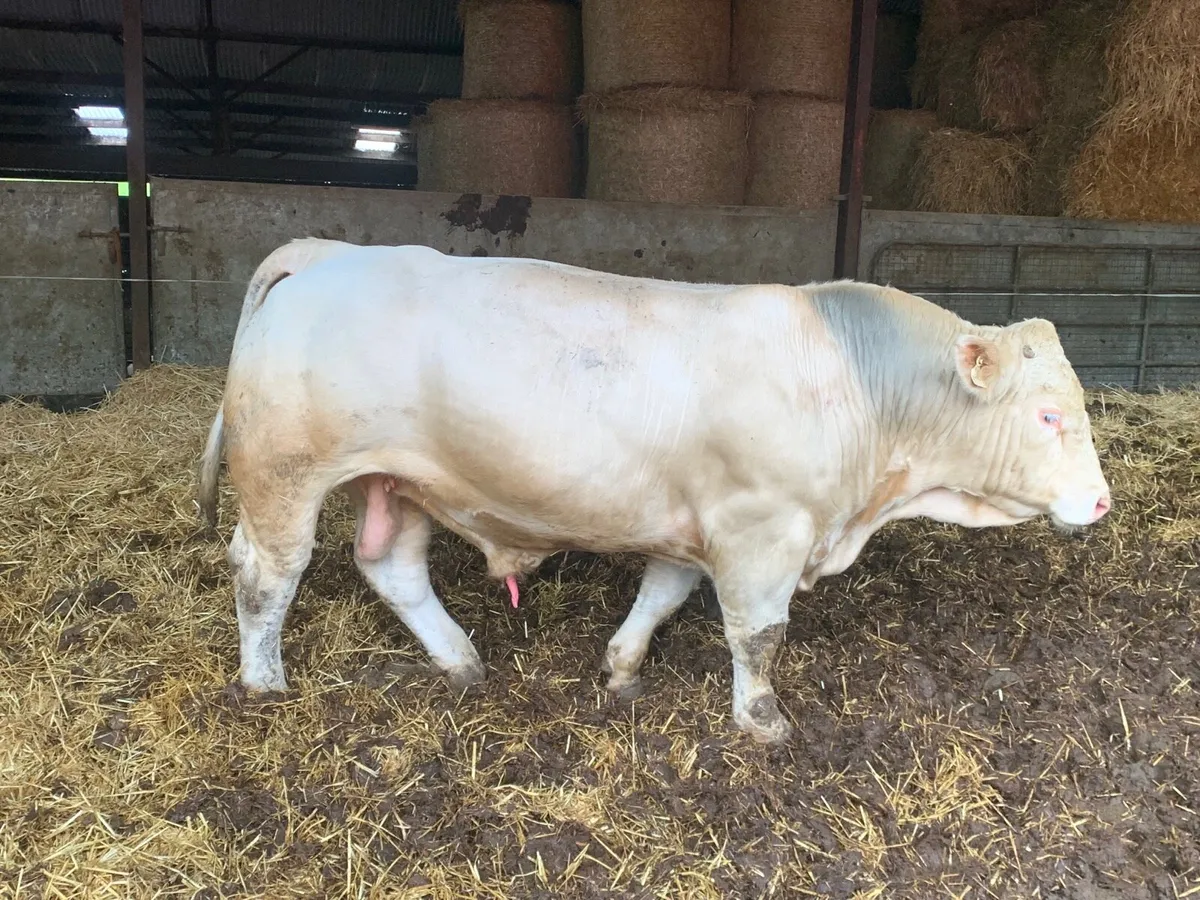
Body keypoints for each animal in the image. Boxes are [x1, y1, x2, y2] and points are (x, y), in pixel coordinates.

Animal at [197, 238, 1111, 745]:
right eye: (1049, 415)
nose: (1101, 503)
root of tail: (328, 254)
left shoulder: (696, 524)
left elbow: (662, 595)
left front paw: (623, 670)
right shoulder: (760, 531)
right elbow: (759, 636)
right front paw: (763, 723)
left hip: (398, 482)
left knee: (391, 568)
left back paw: (461, 661)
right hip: (284, 473)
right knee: (266, 573)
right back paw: (264, 683)